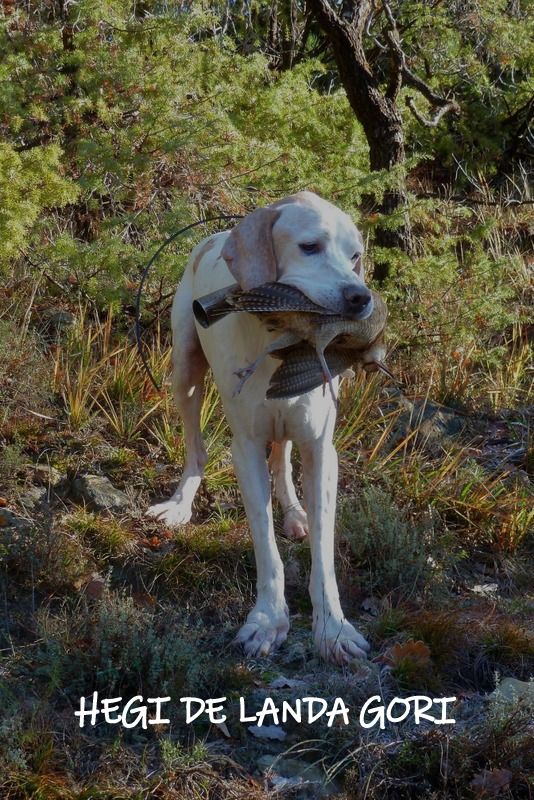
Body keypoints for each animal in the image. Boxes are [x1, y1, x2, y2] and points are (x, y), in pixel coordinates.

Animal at [147, 191, 372, 664]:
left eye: (355, 255)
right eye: (310, 247)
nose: (360, 297)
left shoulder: (321, 448)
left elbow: (323, 551)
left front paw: (334, 629)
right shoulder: (245, 448)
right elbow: (265, 546)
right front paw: (268, 620)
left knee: (283, 459)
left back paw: (294, 512)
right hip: (184, 372)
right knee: (196, 449)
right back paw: (180, 503)